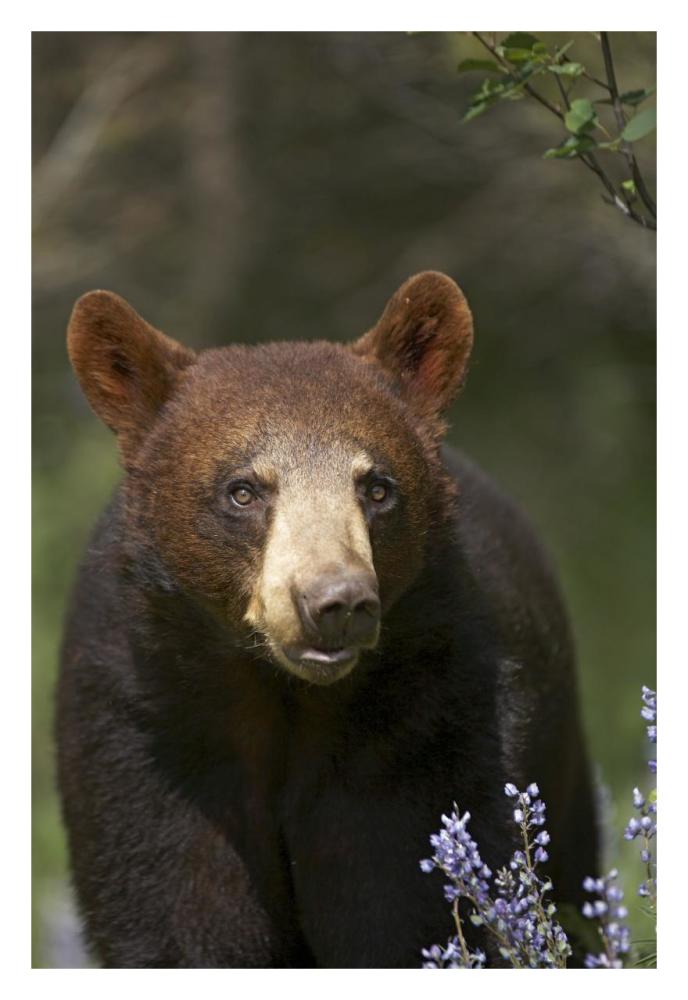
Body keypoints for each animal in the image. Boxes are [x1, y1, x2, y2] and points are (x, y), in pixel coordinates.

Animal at [56, 271, 598, 968]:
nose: (336, 603)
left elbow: (404, 911)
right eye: (243, 490)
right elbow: (181, 917)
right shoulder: (147, 736)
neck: (284, 699)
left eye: (377, 487)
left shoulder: (425, 731)